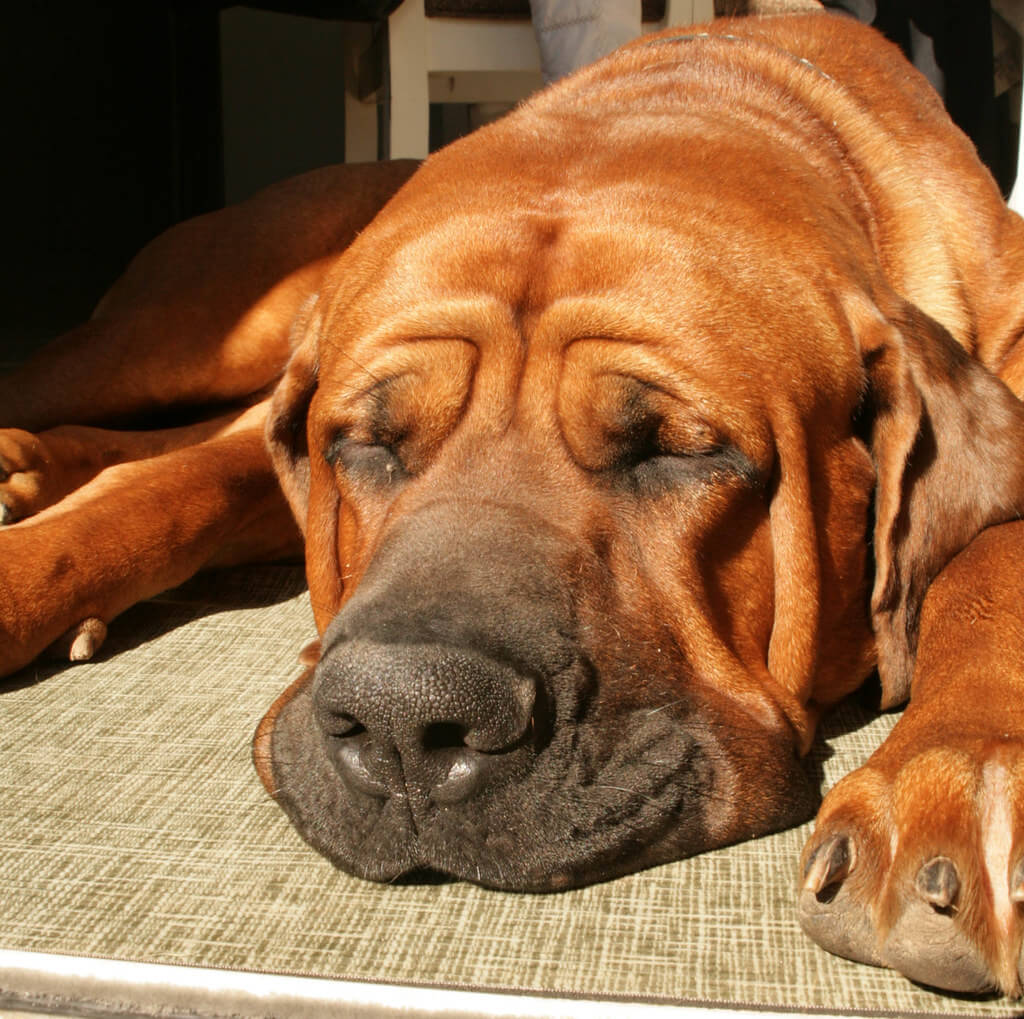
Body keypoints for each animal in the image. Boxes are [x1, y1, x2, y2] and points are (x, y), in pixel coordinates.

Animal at [2, 11, 1024, 999]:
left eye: (678, 451)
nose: (404, 720)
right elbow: (169, 489)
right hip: (181, 334)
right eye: (366, 443)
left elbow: (989, 558)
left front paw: (953, 777)